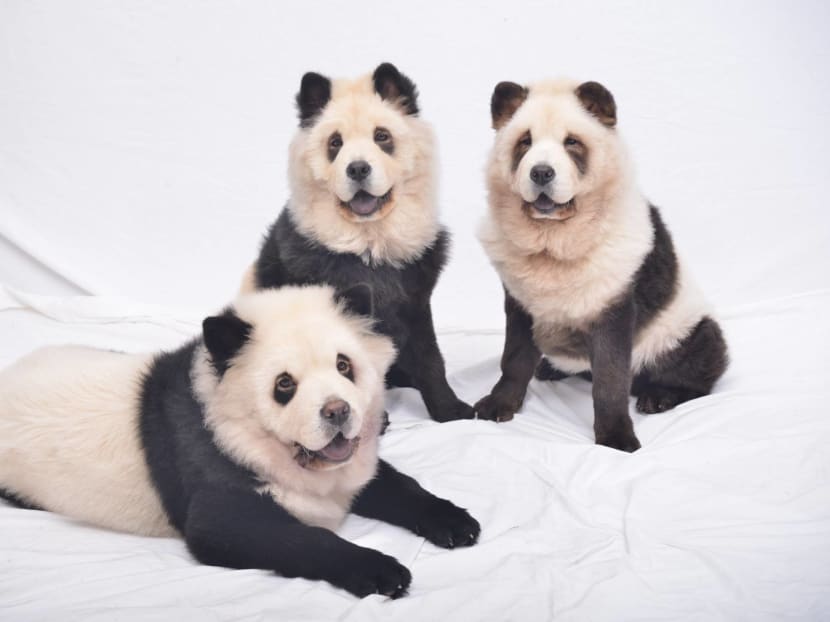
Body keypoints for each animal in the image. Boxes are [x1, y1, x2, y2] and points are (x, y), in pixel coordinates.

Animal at [0, 285, 480, 598]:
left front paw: (454, 521)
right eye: (284, 385)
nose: (337, 412)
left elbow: (392, 484)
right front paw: (380, 570)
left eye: (345, 365)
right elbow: (258, 533)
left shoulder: (344, 467)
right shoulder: (207, 460)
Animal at [240, 62, 474, 423]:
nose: (358, 169)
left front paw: (451, 410)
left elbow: (430, 355)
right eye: (334, 143)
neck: (369, 241)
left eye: (382, 136)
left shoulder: (414, 290)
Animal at [474, 79, 729, 452]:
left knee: (699, 361)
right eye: (525, 142)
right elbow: (515, 355)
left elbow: (610, 373)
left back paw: (660, 396)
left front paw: (616, 437)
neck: (554, 239)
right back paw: (551, 368)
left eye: (572, 143)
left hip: (684, 329)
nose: (541, 173)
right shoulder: (520, 295)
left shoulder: (616, 292)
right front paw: (498, 404)